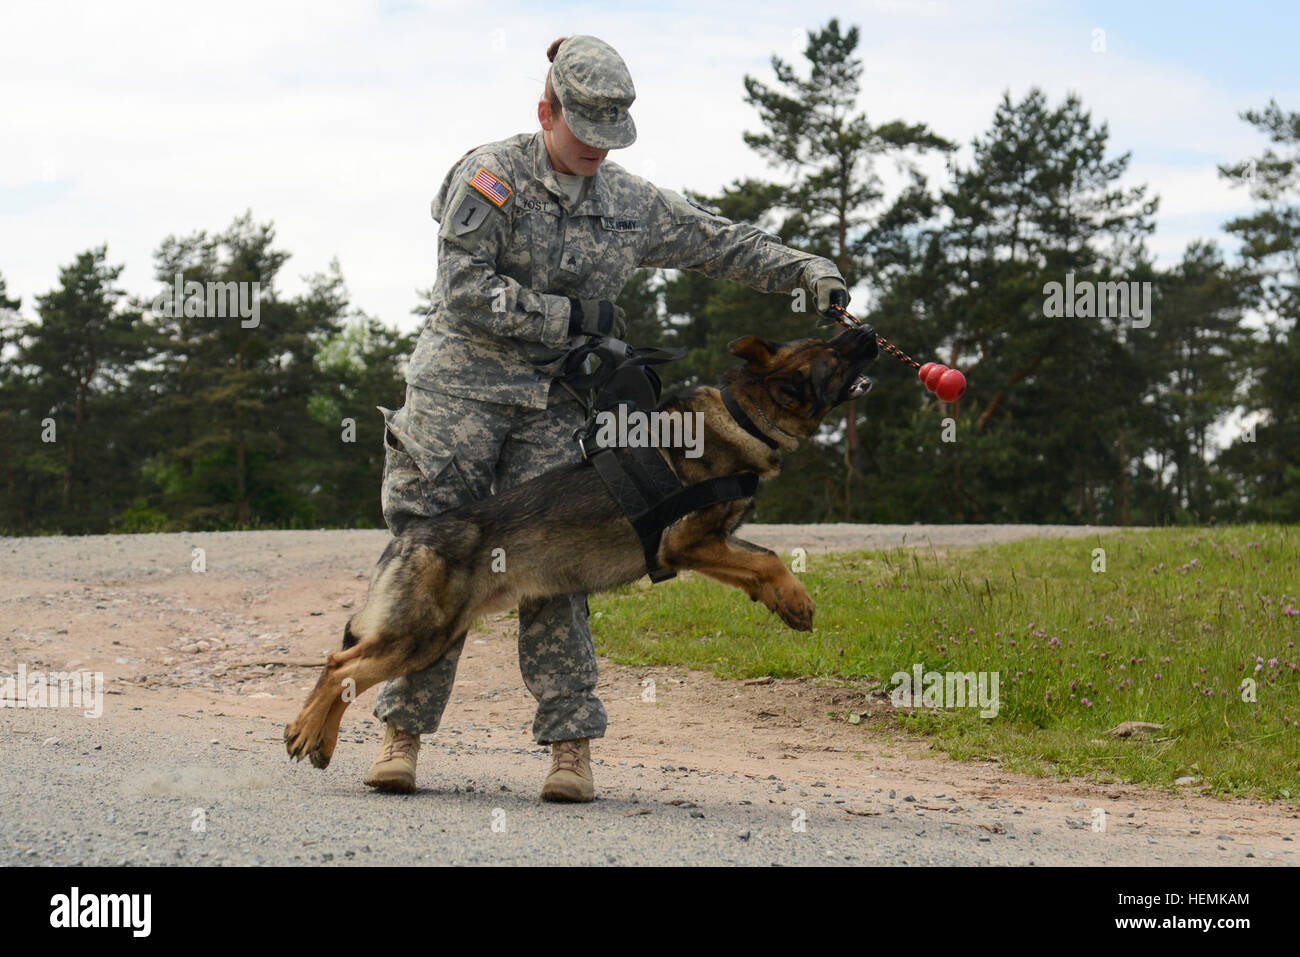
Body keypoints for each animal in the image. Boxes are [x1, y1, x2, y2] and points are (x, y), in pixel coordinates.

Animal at [283, 327, 873, 769]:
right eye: (833, 354)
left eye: (827, 339)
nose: (865, 330)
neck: (746, 412)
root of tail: (409, 536)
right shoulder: (687, 542)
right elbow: (767, 558)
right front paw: (798, 601)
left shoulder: (712, 542)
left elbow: (759, 561)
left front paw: (782, 602)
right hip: (420, 637)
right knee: (338, 665)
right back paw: (308, 731)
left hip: (429, 636)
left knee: (344, 664)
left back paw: (318, 738)